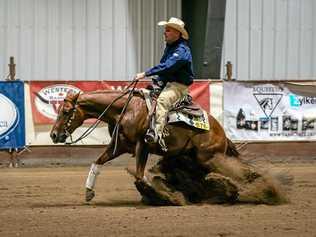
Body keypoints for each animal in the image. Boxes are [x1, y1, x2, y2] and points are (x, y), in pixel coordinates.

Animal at [49, 88, 238, 201]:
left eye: (65, 111)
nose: (53, 135)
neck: (126, 110)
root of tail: (221, 132)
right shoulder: (119, 146)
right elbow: (97, 162)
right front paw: (89, 192)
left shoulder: (143, 145)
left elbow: (140, 176)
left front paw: (161, 194)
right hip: (186, 157)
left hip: (206, 158)